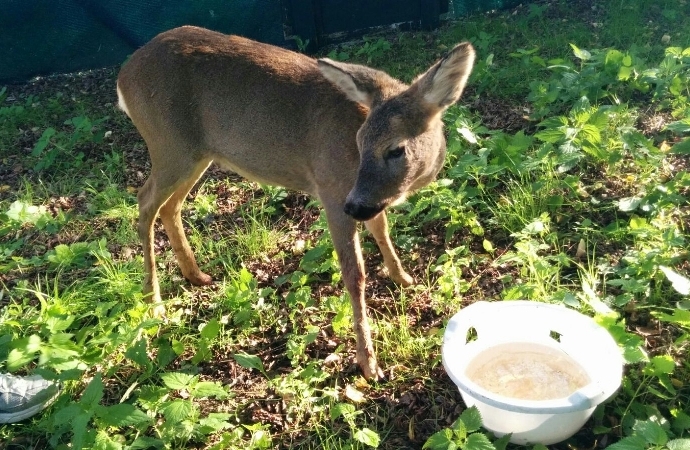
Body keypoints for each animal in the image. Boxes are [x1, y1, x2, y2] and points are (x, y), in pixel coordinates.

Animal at [117, 26, 472, 380]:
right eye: (360, 141)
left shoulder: (365, 196)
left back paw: (196, 274)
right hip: (168, 143)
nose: (354, 207)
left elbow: (381, 229)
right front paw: (368, 362)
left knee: (169, 206)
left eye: (396, 148)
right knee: (144, 201)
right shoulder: (333, 189)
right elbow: (354, 274)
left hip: (197, 153)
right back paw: (153, 300)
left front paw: (404, 278)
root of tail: (123, 76)